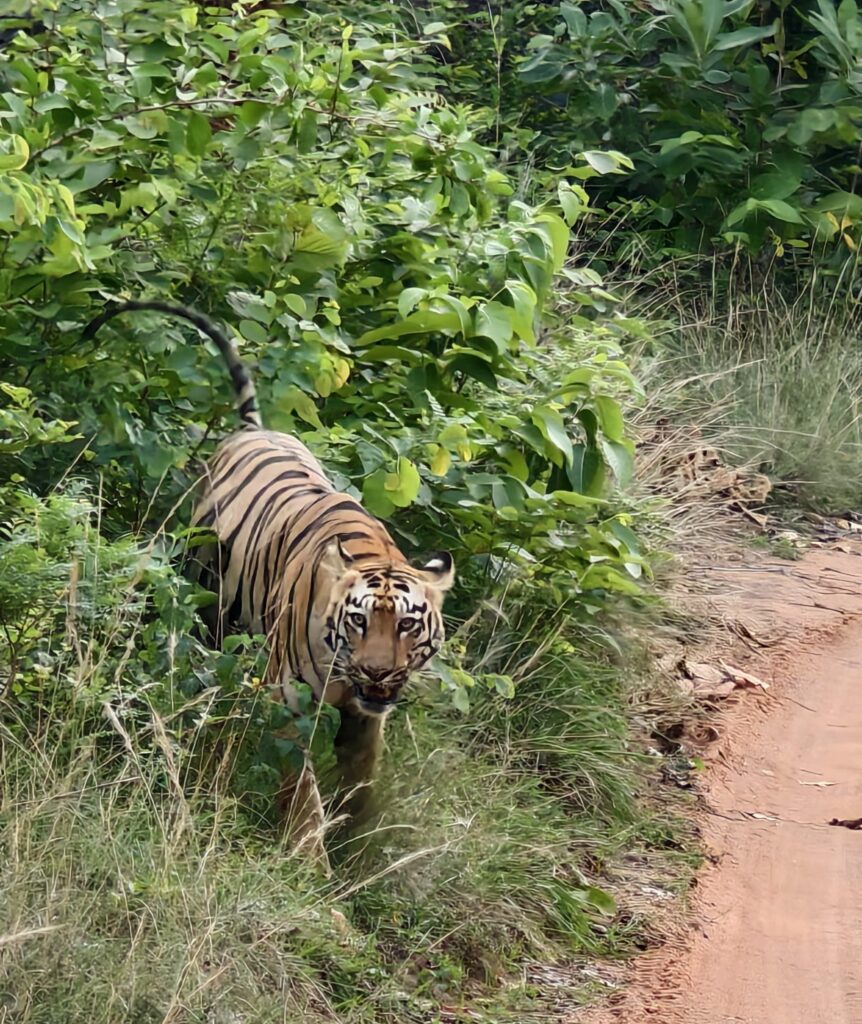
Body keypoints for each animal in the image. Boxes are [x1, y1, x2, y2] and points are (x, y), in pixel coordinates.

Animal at [83, 300, 455, 871]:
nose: (377, 671)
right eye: (358, 620)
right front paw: (308, 858)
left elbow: (361, 776)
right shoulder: (290, 696)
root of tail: (255, 429)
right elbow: (302, 787)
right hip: (208, 599)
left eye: (408, 625)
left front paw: (357, 841)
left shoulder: (366, 715)